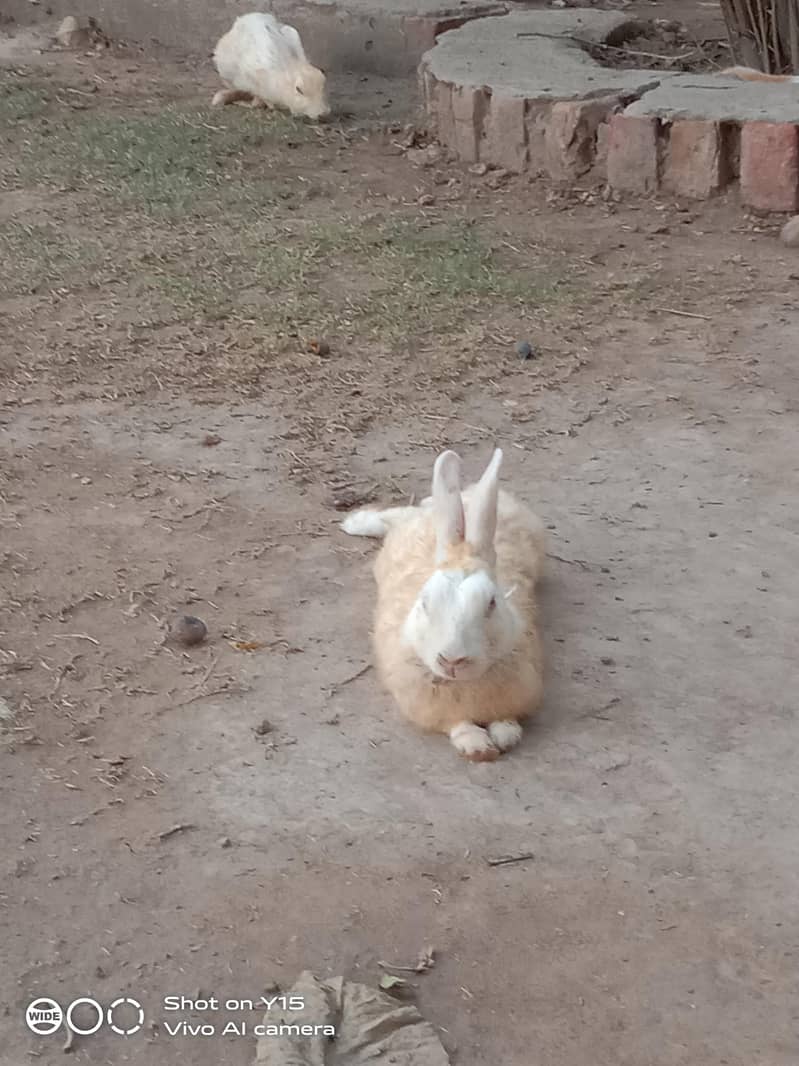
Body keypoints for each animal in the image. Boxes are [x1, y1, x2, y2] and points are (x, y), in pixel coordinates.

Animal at [341, 448, 546, 762]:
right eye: (425, 602)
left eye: (491, 603)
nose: (452, 660)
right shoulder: (438, 711)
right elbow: (458, 725)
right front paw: (477, 747)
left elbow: (506, 719)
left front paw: (505, 736)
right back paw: (356, 522)